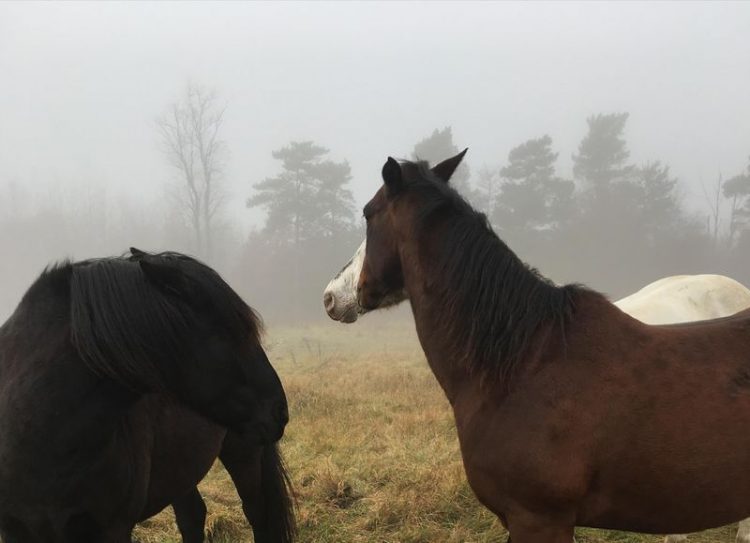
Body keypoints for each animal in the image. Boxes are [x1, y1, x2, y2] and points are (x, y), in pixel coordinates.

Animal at [0, 251, 296, 543]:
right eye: (229, 331)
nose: (279, 411)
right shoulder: (15, 530)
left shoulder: (114, 529)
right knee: (192, 516)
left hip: (243, 452)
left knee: (257, 513)